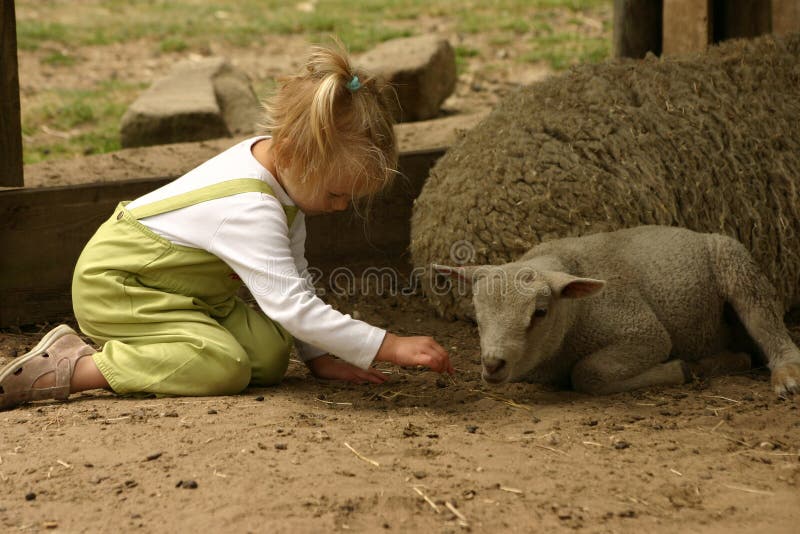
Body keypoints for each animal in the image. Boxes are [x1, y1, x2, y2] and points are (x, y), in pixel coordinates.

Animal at [434, 226, 800, 396]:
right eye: (477, 313)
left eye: (539, 312)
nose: (493, 364)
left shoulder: (643, 332)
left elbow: (588, 373)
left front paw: (678, 369)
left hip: (734, 264)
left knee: (767, 322)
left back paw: (785, 376)